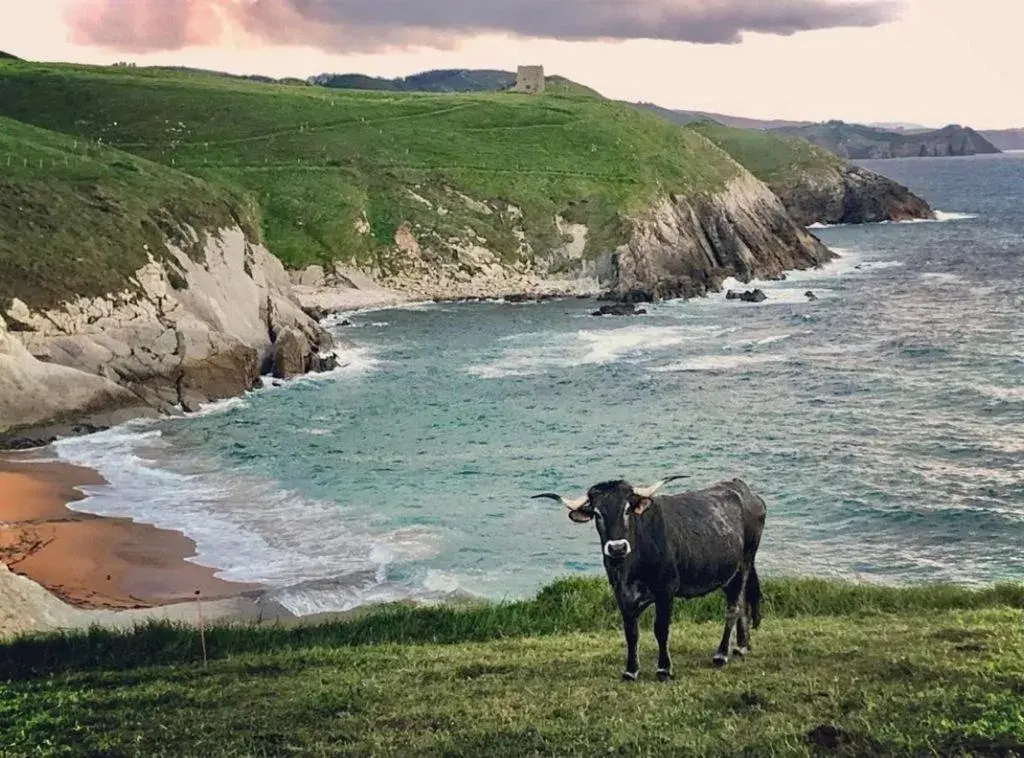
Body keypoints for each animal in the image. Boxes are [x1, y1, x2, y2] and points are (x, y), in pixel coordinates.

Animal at [532, 473, 765, 680]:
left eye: (627, 509)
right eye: (597, 513)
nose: (617, 548)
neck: (630, 567)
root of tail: (746, 491)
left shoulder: (666, 590)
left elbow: (660, 629)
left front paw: (663, 668)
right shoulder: (621, 594)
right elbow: (631, 633)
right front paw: (631, 670)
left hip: (743, 564)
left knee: (733, 608)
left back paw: (722, 654)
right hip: (730, 573)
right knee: (743, 603)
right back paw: (742, 646)